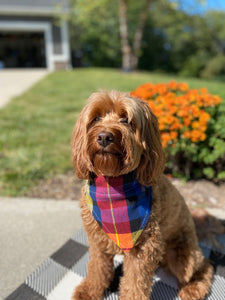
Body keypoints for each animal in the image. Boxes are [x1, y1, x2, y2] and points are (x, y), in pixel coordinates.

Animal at [71, 91, 220, 300]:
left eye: (126, 119)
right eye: (96, 118)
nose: (104, 137)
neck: (112, 185)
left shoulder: (144, 248)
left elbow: (135, 283)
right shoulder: (97, 240)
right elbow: (97, 268)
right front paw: (89, 290)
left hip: (181, 255)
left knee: (204, 264)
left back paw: (193, 288)